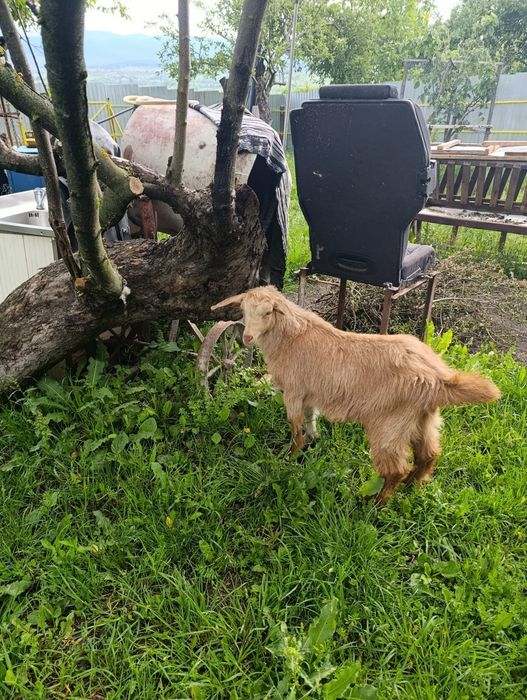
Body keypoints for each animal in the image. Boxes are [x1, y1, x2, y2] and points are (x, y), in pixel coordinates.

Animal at [211, 286, 501, 502]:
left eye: (268, 312)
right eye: (243, 311)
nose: (247, 338)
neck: (291, 337)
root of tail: (437, 378)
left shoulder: (293, 391)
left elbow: (295, 427)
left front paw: (290, 456)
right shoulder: (310, 392)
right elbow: (310, 417)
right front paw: (314, 439)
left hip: (390, 425)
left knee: (396, 469)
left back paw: (377, 503)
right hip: (422, 419)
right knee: (428, 456)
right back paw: (412, 487)